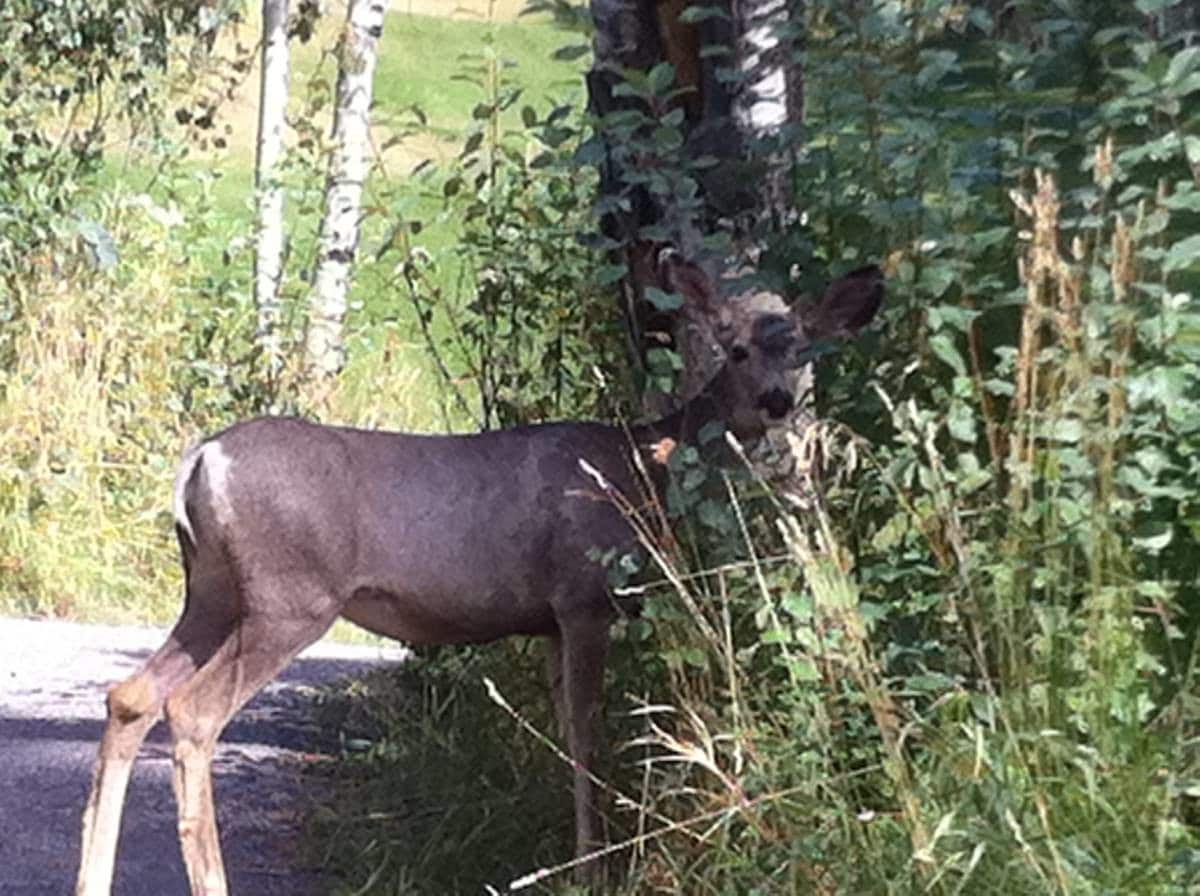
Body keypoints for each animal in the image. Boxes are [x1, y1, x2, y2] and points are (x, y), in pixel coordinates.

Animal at [74, 252, 882, 895]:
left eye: (802, 347)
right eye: (735, 349)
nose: (779, 401)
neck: (640, 469)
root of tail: (201, 461)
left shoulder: (549, 619)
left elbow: (562, 730)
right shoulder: (585, 597)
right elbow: (588, 729)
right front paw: (592, 866)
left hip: (211, 592)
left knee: (130, 696)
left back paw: (94, 879)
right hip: (290, 597)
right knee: (193, 712)